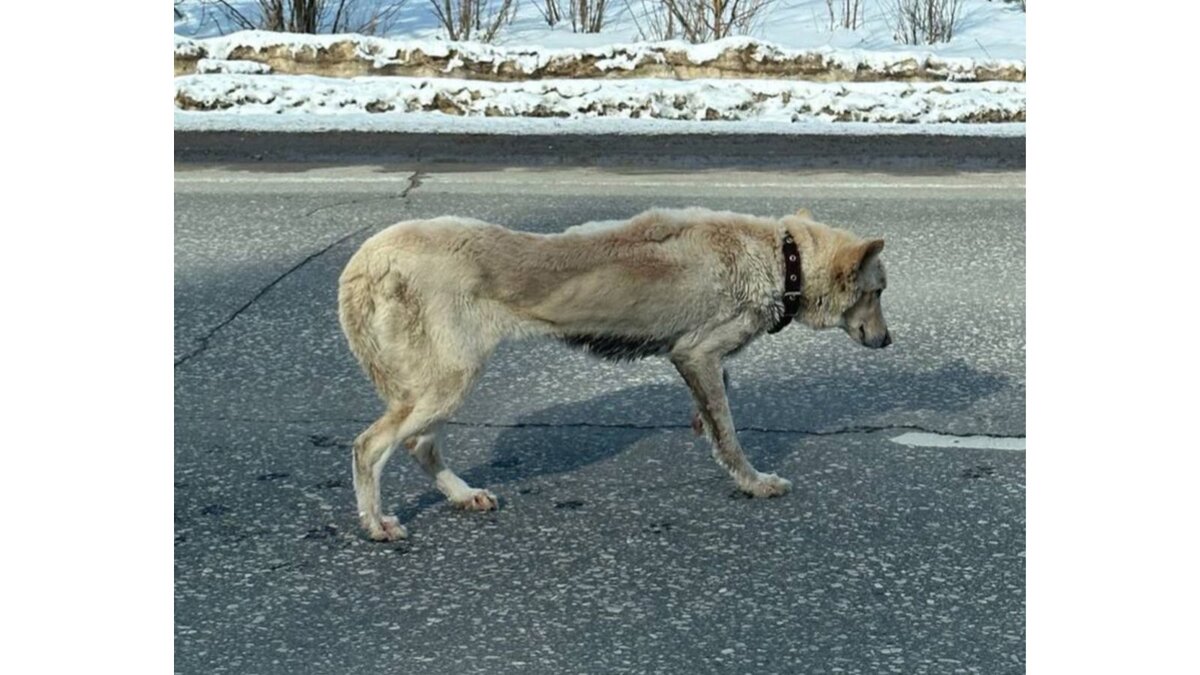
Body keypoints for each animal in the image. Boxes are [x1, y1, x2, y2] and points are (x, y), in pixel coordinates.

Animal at [338, 207, 892, 538]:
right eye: (879, 291)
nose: (888, 341)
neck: (781, 259)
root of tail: (367, 256)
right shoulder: (697, 353)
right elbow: (731, 436)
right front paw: (754, 483)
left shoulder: (700, 361)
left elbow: (716, 413)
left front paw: (703, 425)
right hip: (451, 381)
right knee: (370, 446)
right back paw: (376, 522)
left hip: (441, 385)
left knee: (419, 444)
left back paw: (461, 495)